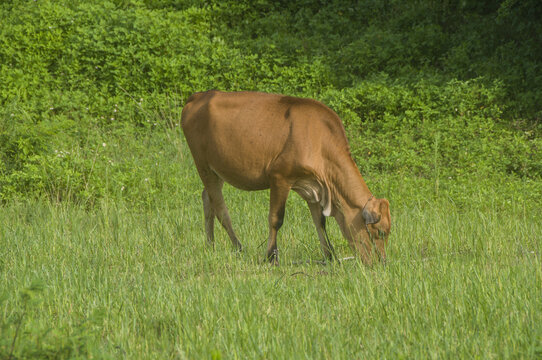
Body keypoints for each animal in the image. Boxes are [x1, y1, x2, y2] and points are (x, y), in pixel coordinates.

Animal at [182, 90, 392, 264]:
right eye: (379, 232)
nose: (382, 262)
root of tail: (199, 96)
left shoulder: (313, 187)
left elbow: (320, 221)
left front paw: (329, 254)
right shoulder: (280, 177)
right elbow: (276, 218)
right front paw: (270, 256)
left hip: (217, 170)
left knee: (207, 199)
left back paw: (210, 245)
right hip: (203, 165)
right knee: (220, 208)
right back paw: (238, 247)